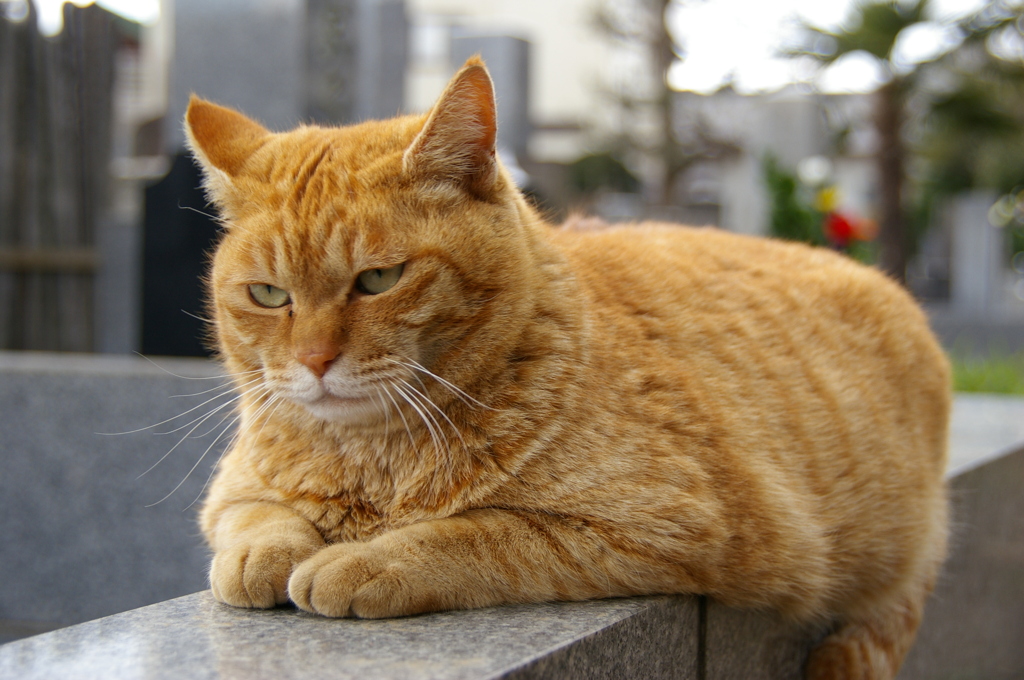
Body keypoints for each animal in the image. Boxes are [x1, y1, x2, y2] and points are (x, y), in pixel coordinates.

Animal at [186, 59, 950, 680]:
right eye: (268, 295)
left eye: (378, 280)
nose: (313, 362)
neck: (369, 464)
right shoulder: (234, 487)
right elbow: (255, 518)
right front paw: (260, 558)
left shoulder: (665, 525)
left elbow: (474, 534)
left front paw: (361, 561)